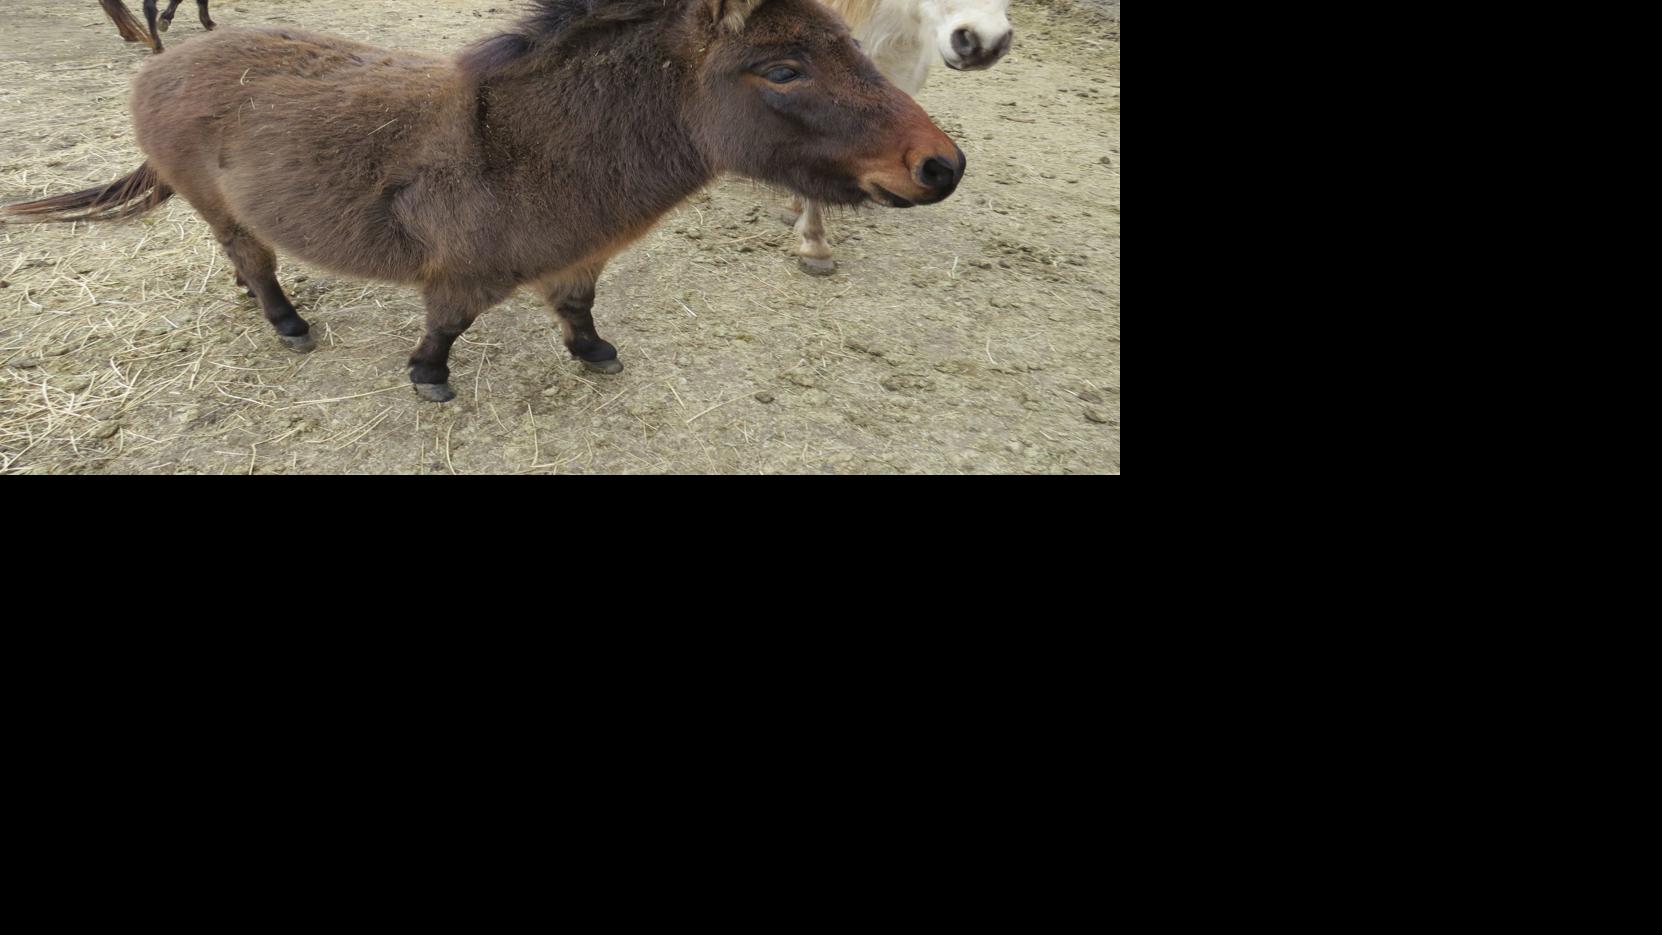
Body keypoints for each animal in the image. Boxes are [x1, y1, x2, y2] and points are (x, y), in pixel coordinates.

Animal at [8, 0, 965, 404]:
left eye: (855, 48)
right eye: (784, 70)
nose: (942, 166)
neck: (535, 150)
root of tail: (160, 65)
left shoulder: (579, 258)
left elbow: (579, 310)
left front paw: (595, 354)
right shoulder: (463, 273)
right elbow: (447, 329)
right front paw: (429, 378)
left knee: (243, 256)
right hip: (211, 197)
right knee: (252, 256)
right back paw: (284, 321)